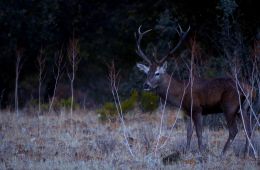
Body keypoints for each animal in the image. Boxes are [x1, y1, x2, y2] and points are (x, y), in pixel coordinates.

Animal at [135, 24, 258, 156]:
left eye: (157, 73)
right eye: (147, 73)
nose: (146, 85)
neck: (181, 93)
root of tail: (251, 90)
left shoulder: (197, 108)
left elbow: (199, 132)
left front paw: (201, 152)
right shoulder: (187, 111)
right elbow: (189, 133)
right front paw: (187, 151)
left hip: (229, 105)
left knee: (234, 130)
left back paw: (223, 153)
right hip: (244, 108)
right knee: (249, 129)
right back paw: (246, 153)